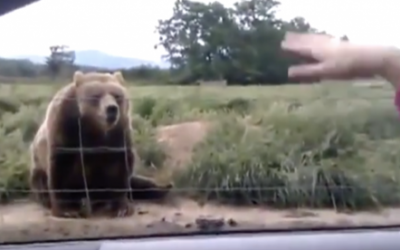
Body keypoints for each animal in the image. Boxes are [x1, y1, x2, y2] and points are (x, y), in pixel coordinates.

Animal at [28, 71, 172, 219]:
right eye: (96, 95)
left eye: (117, 95)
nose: (111, 109)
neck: (95, 128)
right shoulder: (65, 127)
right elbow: (61, 167)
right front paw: (68, 210)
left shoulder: (118, 134)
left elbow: (120, 167)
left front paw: (121, 208)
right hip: (38, 168)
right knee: (41, 181)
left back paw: (164, 187)